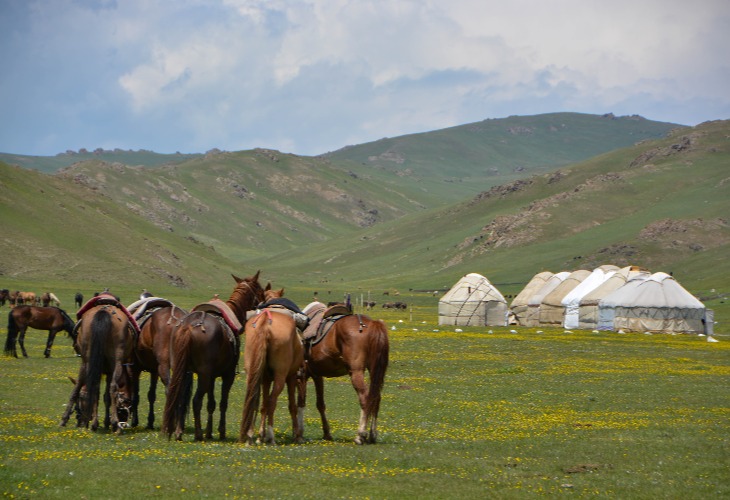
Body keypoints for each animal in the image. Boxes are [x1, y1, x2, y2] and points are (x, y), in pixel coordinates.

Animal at [59, 294, 137, 432]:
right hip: (114, 362)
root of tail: (103, 311)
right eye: (127, 402)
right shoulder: (109, 370)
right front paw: (106, 422)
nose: (80, 420)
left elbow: (95, 391)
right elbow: (106, 395)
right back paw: (112, 422)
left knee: (85, 387)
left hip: (87, 361)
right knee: (111, 387)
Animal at [127, 296, 188, 430]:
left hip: (164, 366)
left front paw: (134, 421)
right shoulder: (154, 371)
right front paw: (150, 422)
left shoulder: (135, 369)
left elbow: (136, 395)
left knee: (170, 390)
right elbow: (151, 395)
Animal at [163, 274, 264, 442]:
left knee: (179, 398)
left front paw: (209, 432)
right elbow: (222, 403)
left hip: (183, 370)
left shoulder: (211, 376)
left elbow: (211, 403)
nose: (263, 304)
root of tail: (187, 327)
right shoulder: (227, 375)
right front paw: (220, 431)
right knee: (196, 400)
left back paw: (178, 432)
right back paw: (198, 434)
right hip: (203, 375)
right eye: (261, 290)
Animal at [239, 290, 304, 446]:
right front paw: (296, 435)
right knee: (273, 401)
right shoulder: (291, 376)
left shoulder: (266, 378)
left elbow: (263, 405)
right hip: (281, 376)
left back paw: (251, 435)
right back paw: (271, 436)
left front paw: (260, 436)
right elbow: (292, 406)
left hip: (253, 373)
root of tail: (265, 323)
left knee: (254, 400)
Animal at [300, 302, 390, 444]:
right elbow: (320, 404)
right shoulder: (317, 375)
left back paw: (360, 435)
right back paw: (372, 435)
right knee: (375, 397)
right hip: (374, 370)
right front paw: (327, 434)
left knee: (365, 397)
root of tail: (372, 324)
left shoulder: (302, 375)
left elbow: (301, 403)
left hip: (356, 372)